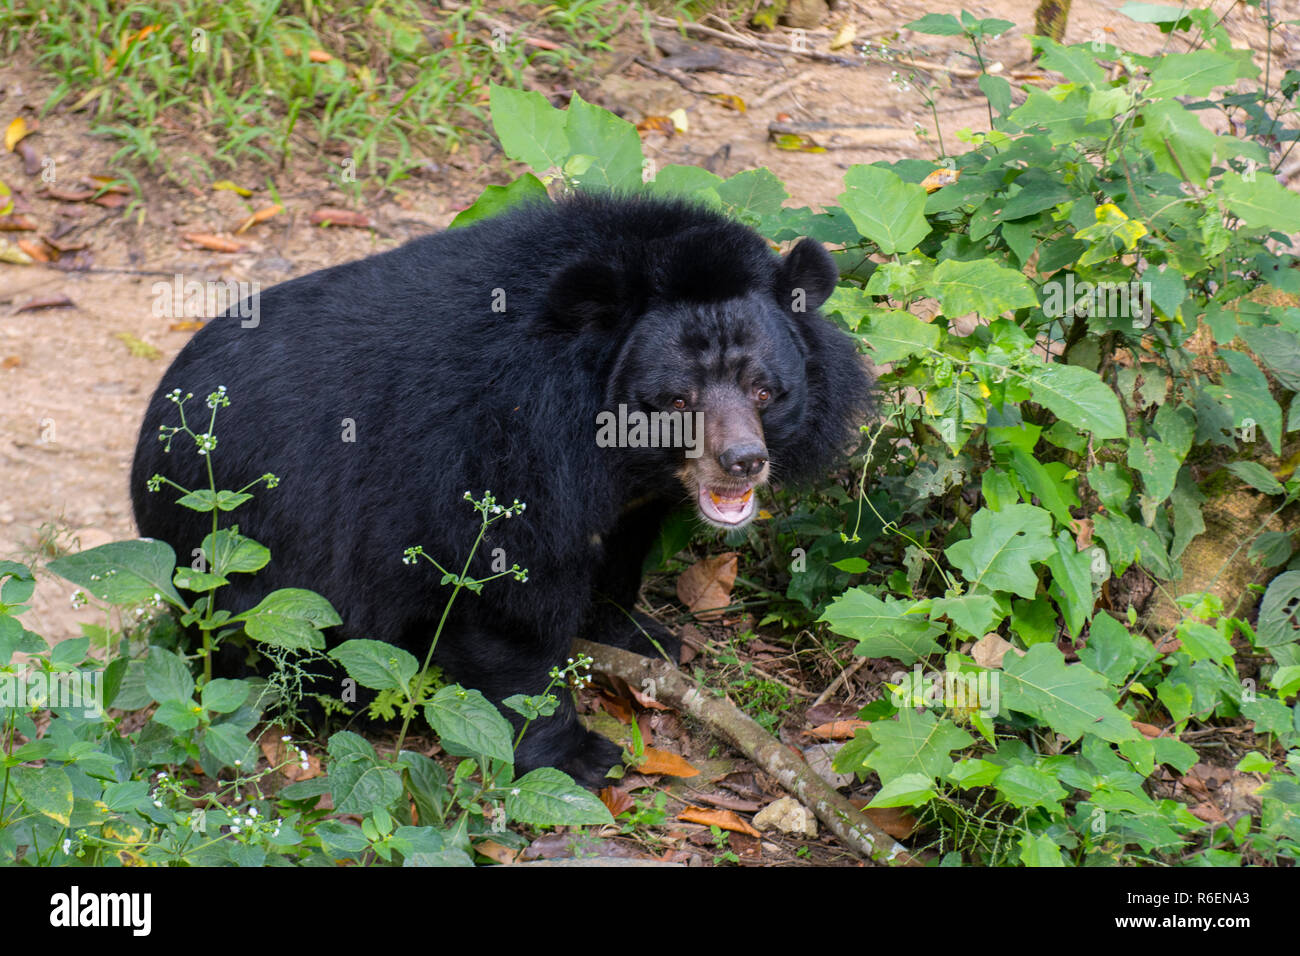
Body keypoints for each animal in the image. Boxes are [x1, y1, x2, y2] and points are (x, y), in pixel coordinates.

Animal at [131, 192, 873, 785]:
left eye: (764, 390)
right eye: (676, 400)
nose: (742, 463)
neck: (609, 445)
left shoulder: (629, 494)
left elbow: (619, 551)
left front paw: (642, 636)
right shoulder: (500, 447)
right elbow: (505, 603)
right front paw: (577, 756)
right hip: (249, 553)